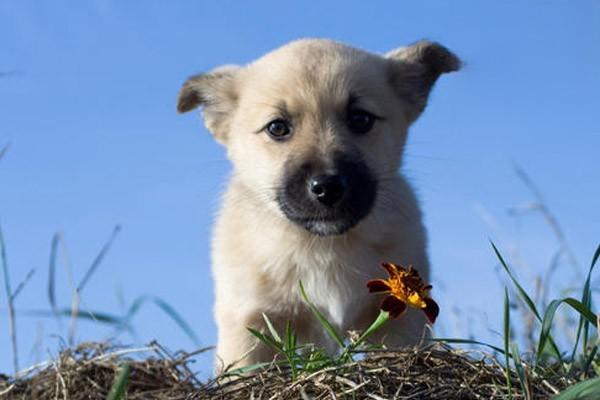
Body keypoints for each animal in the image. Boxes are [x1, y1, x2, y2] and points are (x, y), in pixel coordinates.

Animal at [177, 39, 460, 370]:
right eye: (277, 128)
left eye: (360, 119)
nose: (327, 187)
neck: (324, 247)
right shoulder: (249, 321)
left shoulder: (399, 322)